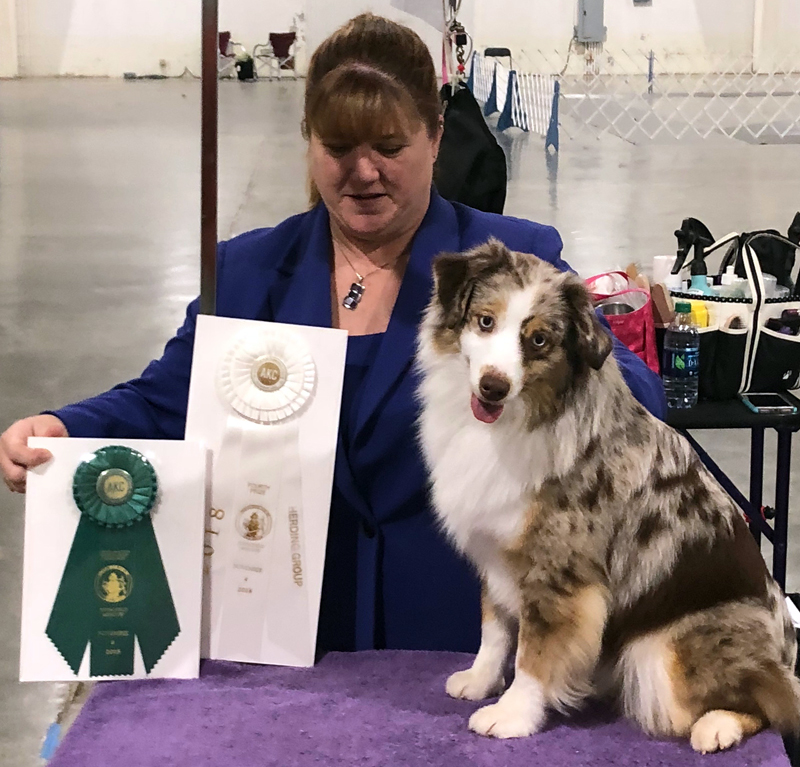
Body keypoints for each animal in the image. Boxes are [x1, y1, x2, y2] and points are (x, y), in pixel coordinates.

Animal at [416, 238, 796, 752]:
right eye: (485, 320)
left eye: (539, 340)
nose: (493, 387)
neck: (523, 418)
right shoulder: (496, 552)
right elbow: (494, 628)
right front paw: (479, 680)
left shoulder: (561, 572)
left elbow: (534, 652)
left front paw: (513, 714)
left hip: (663, 652)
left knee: (770, 699)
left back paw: (718, 726)